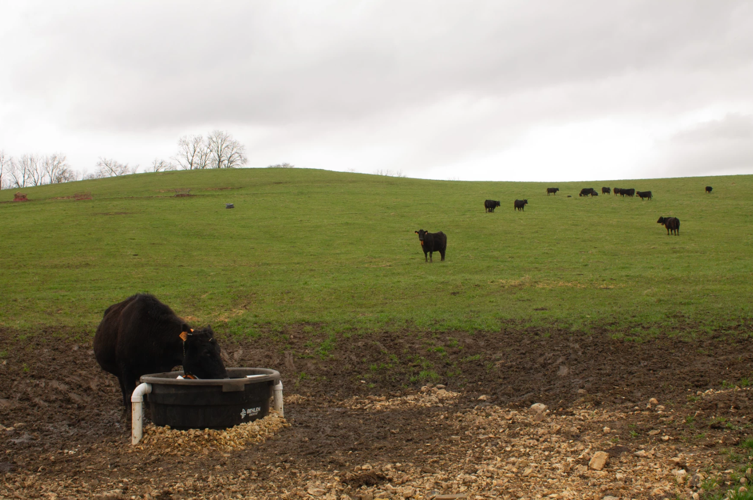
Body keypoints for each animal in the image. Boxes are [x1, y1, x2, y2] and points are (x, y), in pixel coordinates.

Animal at [94, 294, 228, 412]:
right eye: (206, 352)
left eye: (219, 350)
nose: (224, 378)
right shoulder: (126, 370)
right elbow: (129, 395)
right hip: (119, 372)